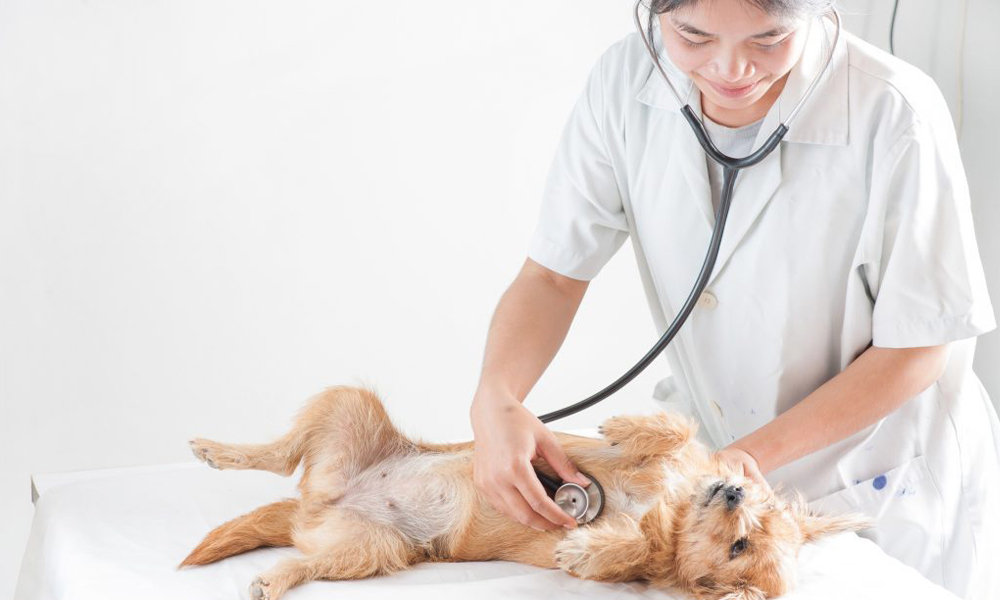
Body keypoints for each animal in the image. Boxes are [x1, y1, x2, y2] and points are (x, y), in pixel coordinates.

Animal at [180, 386, 868, 596]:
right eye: (761, 509)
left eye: (739, 548)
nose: (732, 495)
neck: (672, 511)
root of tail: (318, 503)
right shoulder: (678, 458)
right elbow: (675, 431)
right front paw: (627, 426)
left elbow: (624, 552)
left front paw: (587, 548)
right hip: (349, 404)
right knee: (276, 456)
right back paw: (215, 449)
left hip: (368, 551)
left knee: (306, 560)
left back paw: (273, 579)